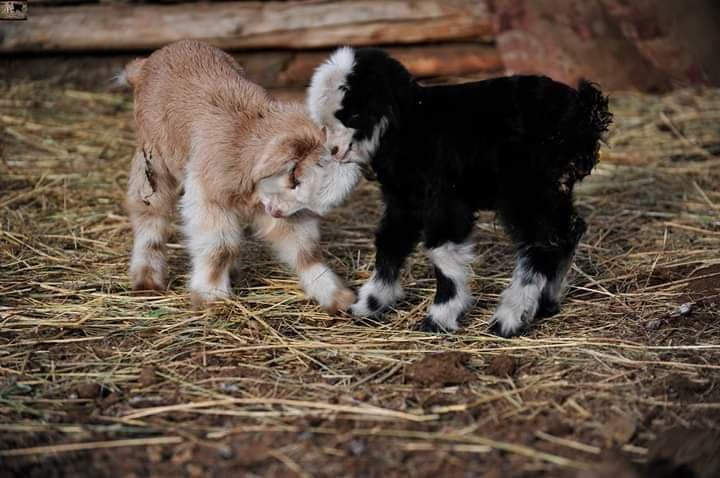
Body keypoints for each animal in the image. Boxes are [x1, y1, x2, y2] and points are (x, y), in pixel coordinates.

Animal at [125, 40, 360, 310]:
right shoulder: (208, 195)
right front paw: (211, 296)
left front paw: (337, 296)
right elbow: (219, 248)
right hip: (153, 158)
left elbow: (305, 250)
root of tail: (147, 62)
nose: (276, 212)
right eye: (294, 177)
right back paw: (147, 279)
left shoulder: (285, 212)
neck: (245, 137)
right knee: (149, 210)